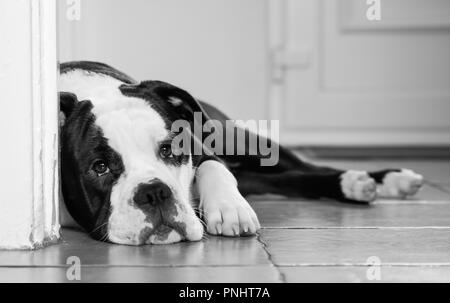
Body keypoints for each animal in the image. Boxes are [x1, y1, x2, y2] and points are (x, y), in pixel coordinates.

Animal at [59, 61, 426, 247]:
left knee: (304, 165)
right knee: (290, 179)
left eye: (171, 150)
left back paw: (376, 180)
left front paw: (229, 209)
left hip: (242, 140)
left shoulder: (204, 150)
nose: (154, 192)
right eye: (100, 167)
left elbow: (214, 169)